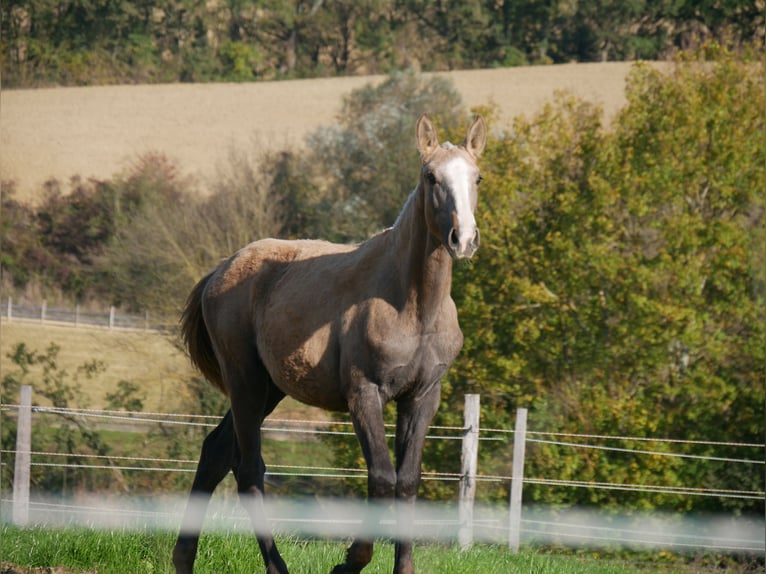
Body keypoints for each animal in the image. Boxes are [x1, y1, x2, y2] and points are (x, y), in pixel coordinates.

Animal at [172, 113, 486, 574]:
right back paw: (277, 568)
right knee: (248, 471)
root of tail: (221, 270)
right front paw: (349, 561)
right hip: (245, 382)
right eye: (430, 177)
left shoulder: (422, 397)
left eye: (477, 178)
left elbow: (408, 483)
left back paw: (183, 559)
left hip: (269, 389)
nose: (462, 239)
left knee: (215, 453)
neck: (411, 305)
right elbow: (382, 479)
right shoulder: (364, 394)